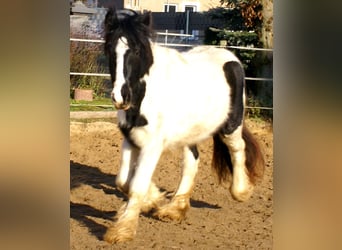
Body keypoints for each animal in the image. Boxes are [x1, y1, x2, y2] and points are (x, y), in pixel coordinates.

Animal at [103, 8, 264, 243]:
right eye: (110, 50)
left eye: (136, 51)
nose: (120, 97)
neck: (145, 95)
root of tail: (231, 58)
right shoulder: (130, 139)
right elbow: (123, 181)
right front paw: (153, 199)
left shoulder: (152, 145)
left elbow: (135, 185)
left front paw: (122, 231)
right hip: (191, 132)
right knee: (192, 161)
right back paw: (175, 209)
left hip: (231, 126)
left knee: (237, 149)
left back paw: (241, 191)